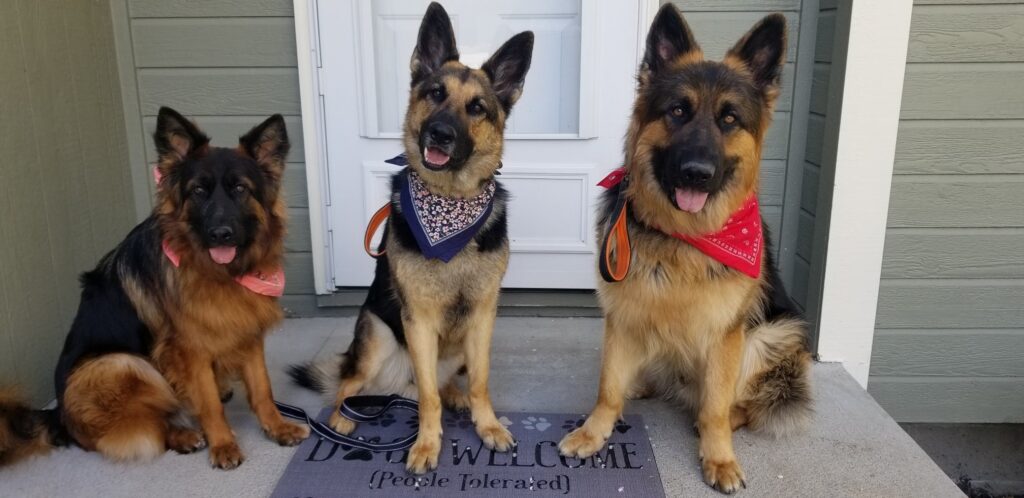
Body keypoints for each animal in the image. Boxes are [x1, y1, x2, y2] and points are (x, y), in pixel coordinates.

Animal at [2, 108, 309, 471]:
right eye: (198, 191)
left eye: (239, 188)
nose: (220, 234)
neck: (217, 272)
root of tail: (58, 416)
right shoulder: (189, 350)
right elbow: (208, 404)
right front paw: (222, 443)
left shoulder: (246, 330)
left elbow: (262, 388)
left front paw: (276, 427)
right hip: (118, 364)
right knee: (141, 425)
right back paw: (182, 434)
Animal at [557, 4, 811, 493]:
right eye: (678, 110)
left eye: (729, 119)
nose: (696, 172)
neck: (681, 235)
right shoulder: (623, 314)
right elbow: (608, 387)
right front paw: (594, 432)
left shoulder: (727, 333)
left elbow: (715, 407)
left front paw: (719, 457)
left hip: (773, 334)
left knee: (740, 404)